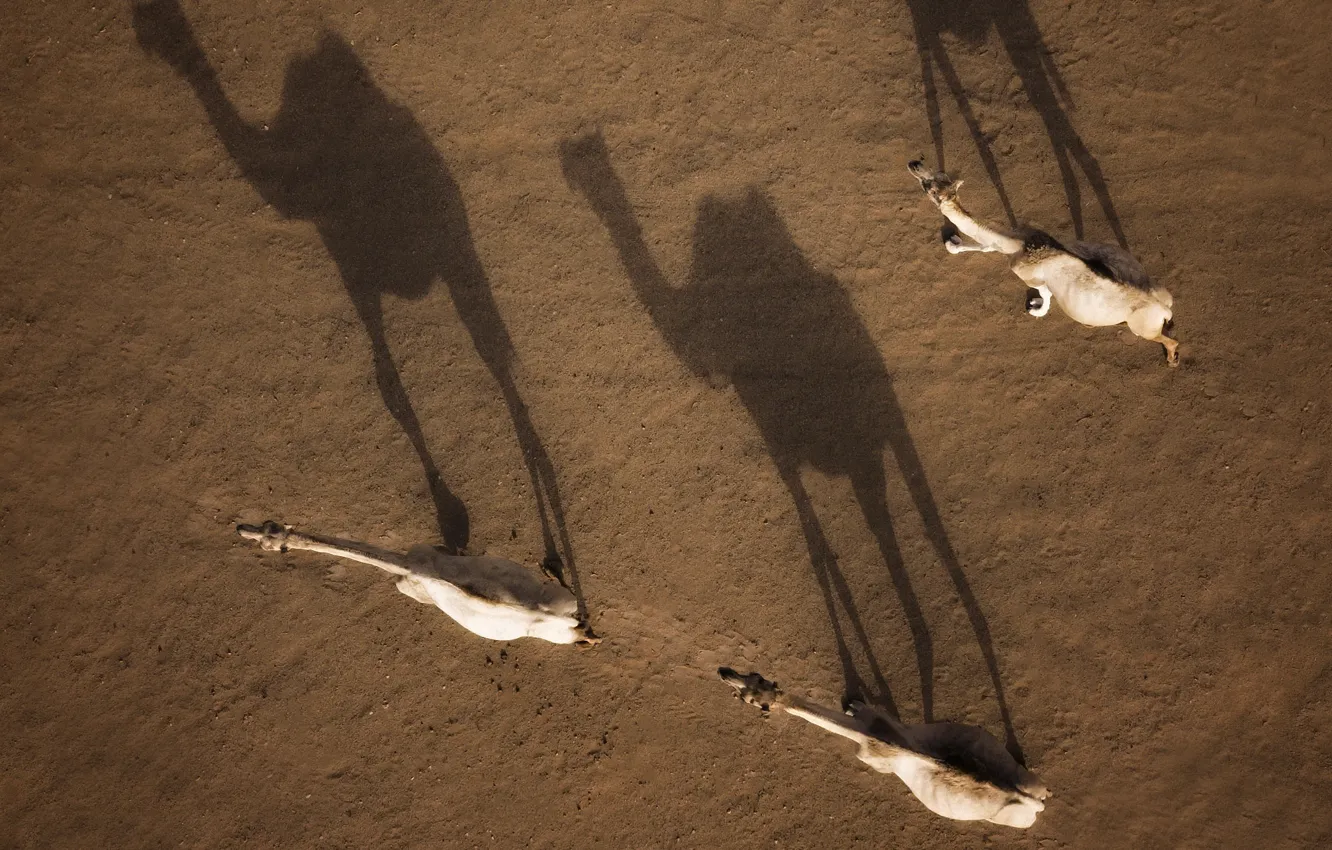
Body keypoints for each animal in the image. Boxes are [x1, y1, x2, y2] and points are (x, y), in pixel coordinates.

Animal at [237, 521, 598, 646]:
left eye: (269, 541)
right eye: (267, 529)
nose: (242, 529)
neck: (410, 566)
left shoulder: (412, 579)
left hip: (554, 629)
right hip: (558, 602)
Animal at [719, 668, 1048, 828]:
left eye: (750, 699)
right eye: (753, 677)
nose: (723, 672)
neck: (870, 735)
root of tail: (1034, 803)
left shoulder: (876, 761)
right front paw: (852, 704)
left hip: (1018, 820)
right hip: (1029, 779)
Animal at [909, 160, 1179, 366]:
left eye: (932, 189)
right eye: (937, 174)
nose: (914, 164)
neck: (1019, 245)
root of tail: (1163, 308)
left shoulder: (1029, 275)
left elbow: (1046, 294)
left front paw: (1036, 308)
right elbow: (984, 246)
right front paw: (953, 243)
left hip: (1142, 327)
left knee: (1168, 340)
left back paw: (1172, 359)